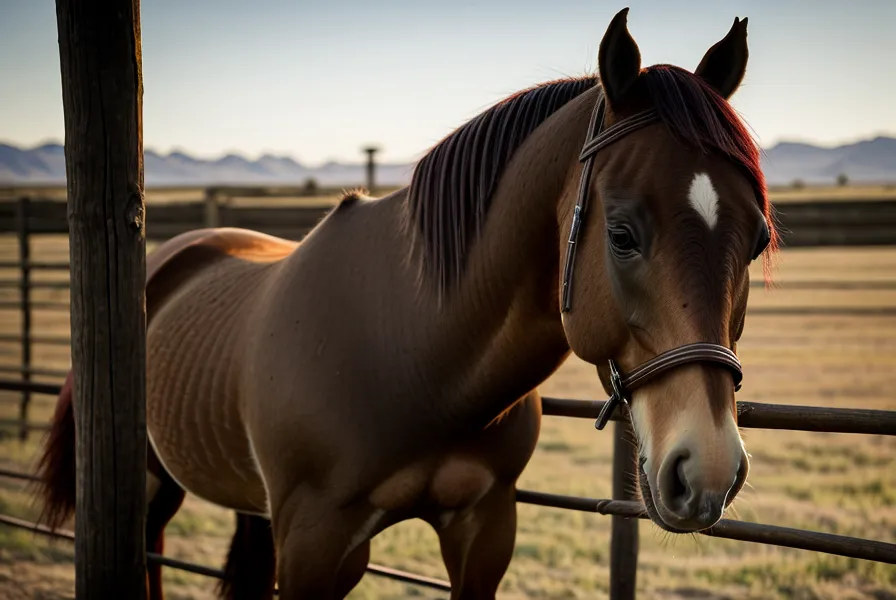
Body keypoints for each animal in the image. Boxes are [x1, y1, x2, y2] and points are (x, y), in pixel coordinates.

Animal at [34, 7, 777, 599]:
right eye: (622, 234)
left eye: (756, 241)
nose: (708, 468)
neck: (417, 357)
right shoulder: (314, 546)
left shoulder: (485, 532)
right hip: (151, 487)